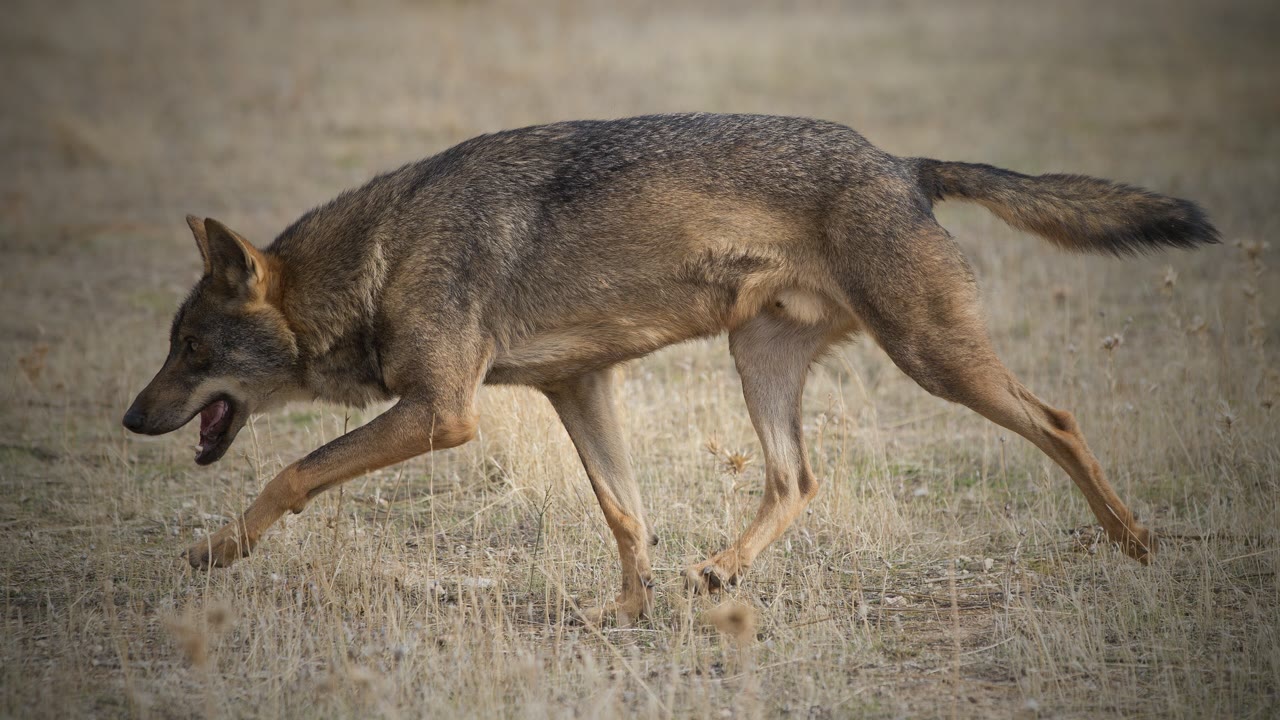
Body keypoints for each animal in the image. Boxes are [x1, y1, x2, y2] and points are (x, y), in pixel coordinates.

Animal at [123, 113, 1218, 624]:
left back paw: (1133, 542)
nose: (129, 420)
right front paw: (625, 611)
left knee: (1060, 422)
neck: (380, 258)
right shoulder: (578, 386)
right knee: (797, 477)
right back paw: (723, 568)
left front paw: (216, 552)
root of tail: (906, 164)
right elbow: (626, 515)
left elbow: (291, 472)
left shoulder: (441, 414)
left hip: (934, 359)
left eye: (191, 351)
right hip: (760, 361)